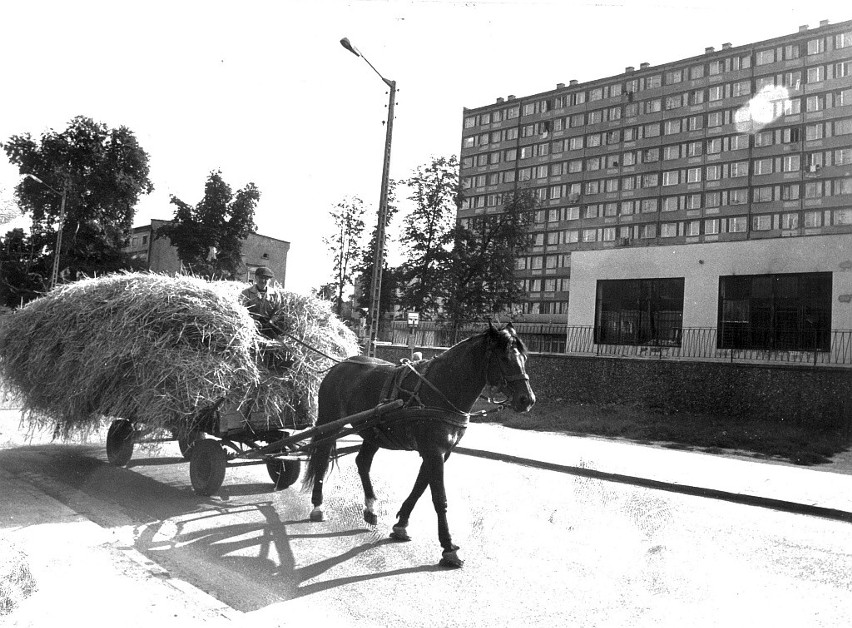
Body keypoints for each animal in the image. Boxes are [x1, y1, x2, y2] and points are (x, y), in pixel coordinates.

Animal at [302, 322, 536, 568]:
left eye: (524, 357)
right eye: (504, 357)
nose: (527, 400)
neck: (441, 388)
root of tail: (339, 365)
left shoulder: (440, 453)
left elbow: (419, 488)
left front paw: (401, 525)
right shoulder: (434, 452)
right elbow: (439, 498)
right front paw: (448, 547)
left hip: (373, 431)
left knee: (362, 462)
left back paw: (370, 507)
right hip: (329, 423)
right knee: (321, 458)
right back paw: (318, 505)